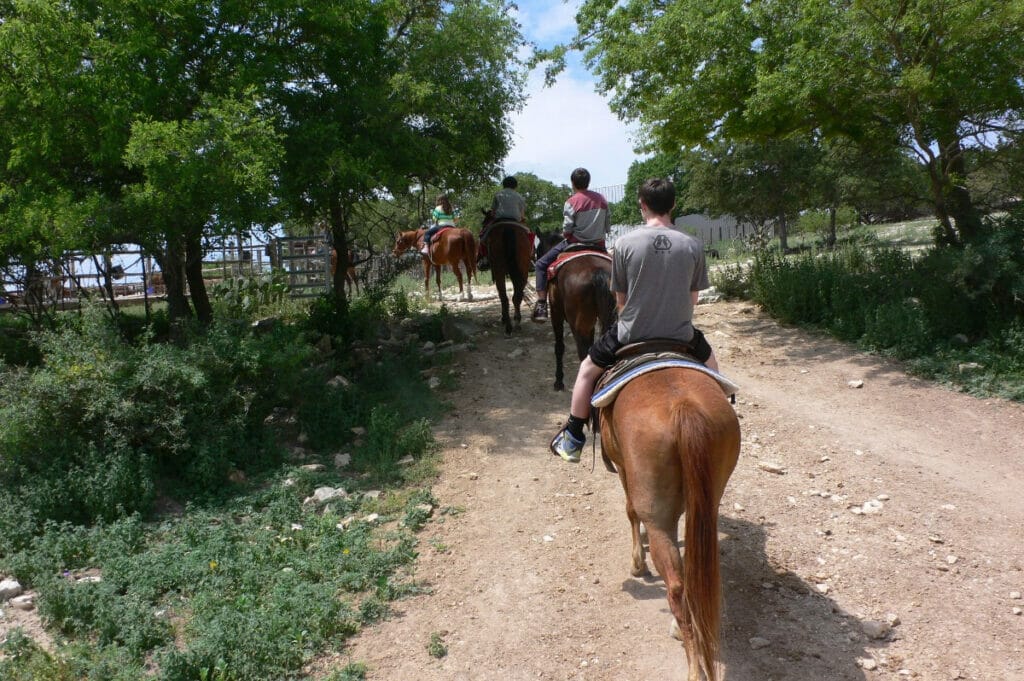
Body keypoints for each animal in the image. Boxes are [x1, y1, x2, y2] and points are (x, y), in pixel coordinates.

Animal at [544, 249, 614, 387]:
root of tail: (597, 270)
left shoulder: (555, 313)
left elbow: (559, 347)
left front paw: (558, 381)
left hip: (579, 326)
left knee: (584, 356)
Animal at [598, 366, 741, 679]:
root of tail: (683, 407)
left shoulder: (624, 468)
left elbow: (630, 511)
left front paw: (638, 564)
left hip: (658, 517)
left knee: (675, 585)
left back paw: (694, 668)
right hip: (710, 496)